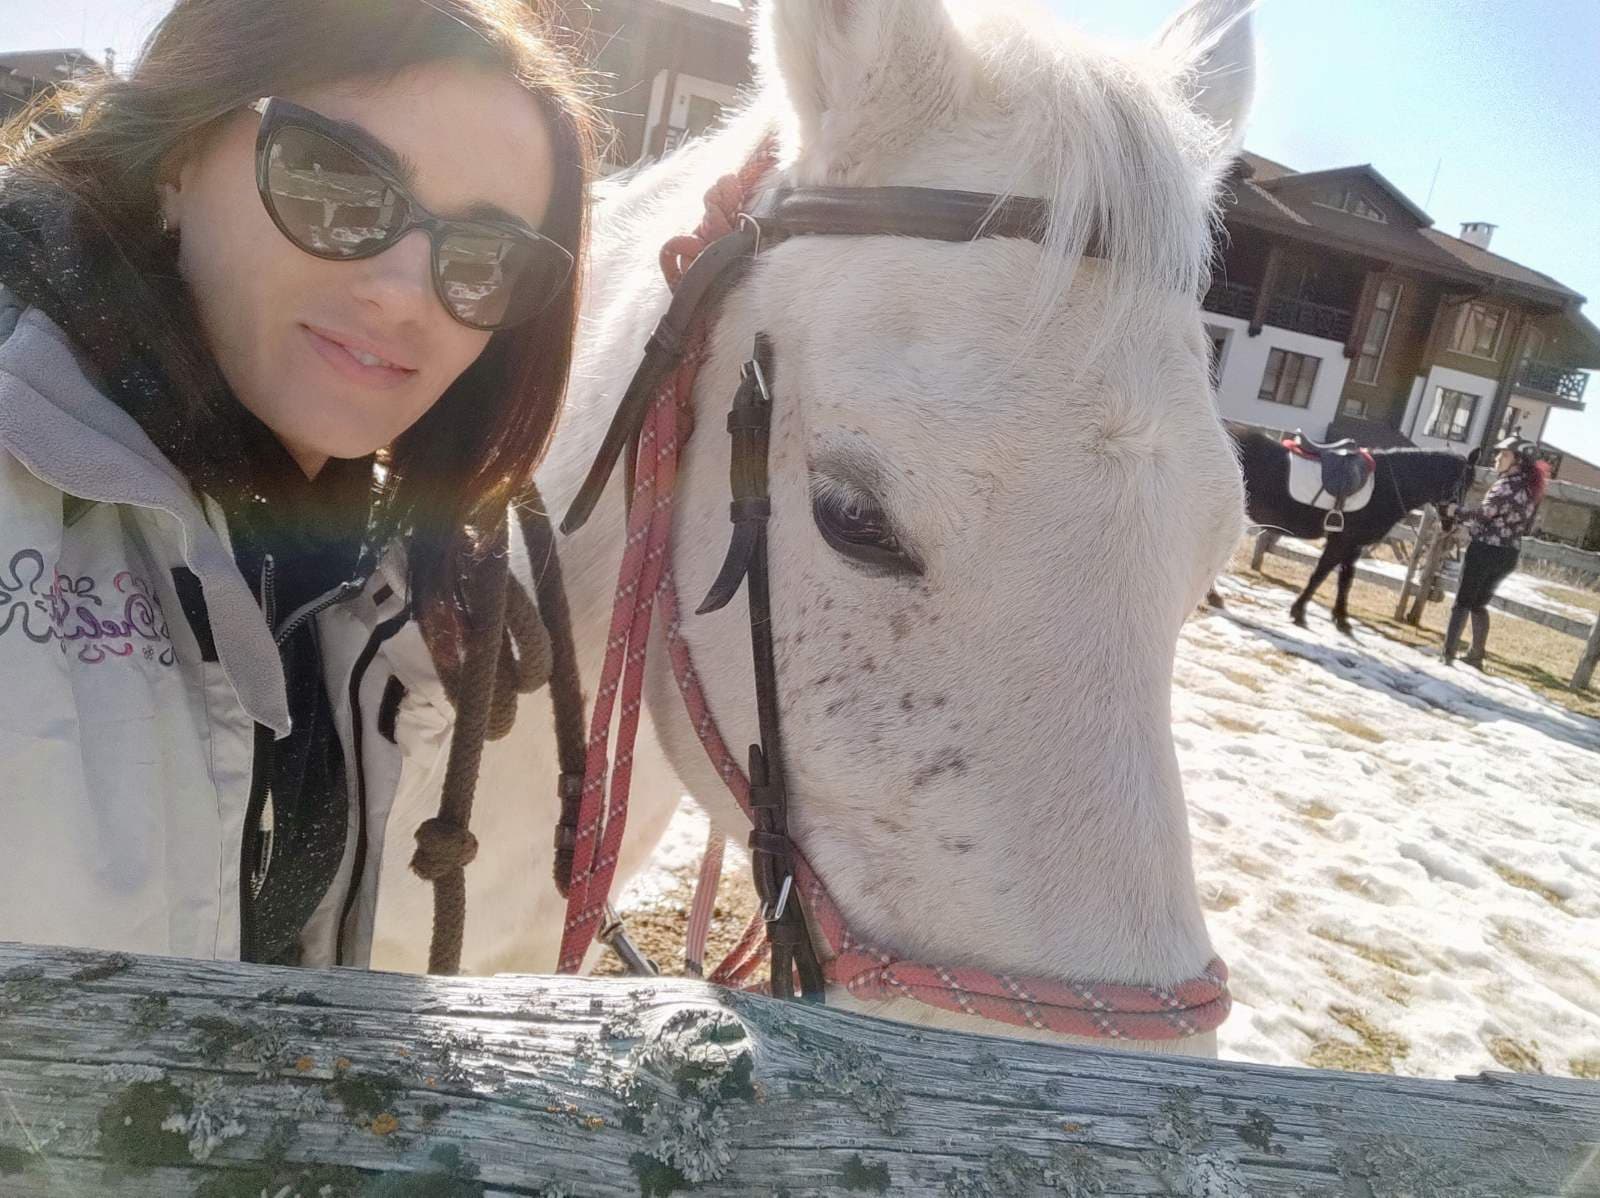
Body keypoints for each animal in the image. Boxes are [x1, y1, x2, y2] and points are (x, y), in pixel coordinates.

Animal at [1226, 429, 1479, 633]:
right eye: (1463, 482)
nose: (1453, 523)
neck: (1387, 484)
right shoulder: (1342, 541)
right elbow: (1320, 575)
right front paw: (1299, 612)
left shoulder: (1353, 546)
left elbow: (1345, 580)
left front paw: (1341, 619)